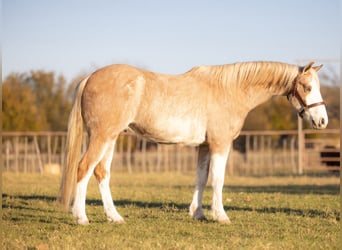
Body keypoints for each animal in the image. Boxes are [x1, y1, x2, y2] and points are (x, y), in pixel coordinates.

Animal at [59, 61, 328, 225]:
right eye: (307, 87)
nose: (322, 121)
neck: (230, 90)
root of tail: (90, 77)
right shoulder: (220, 144)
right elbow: (218, 179)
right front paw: (221, 216)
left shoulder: (204, 146)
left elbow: (201, 178)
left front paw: (198, 213)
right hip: (101, 136)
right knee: (83, 169)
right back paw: (81, 217)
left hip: (111, 138)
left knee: (101, 172)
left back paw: (114, 216)